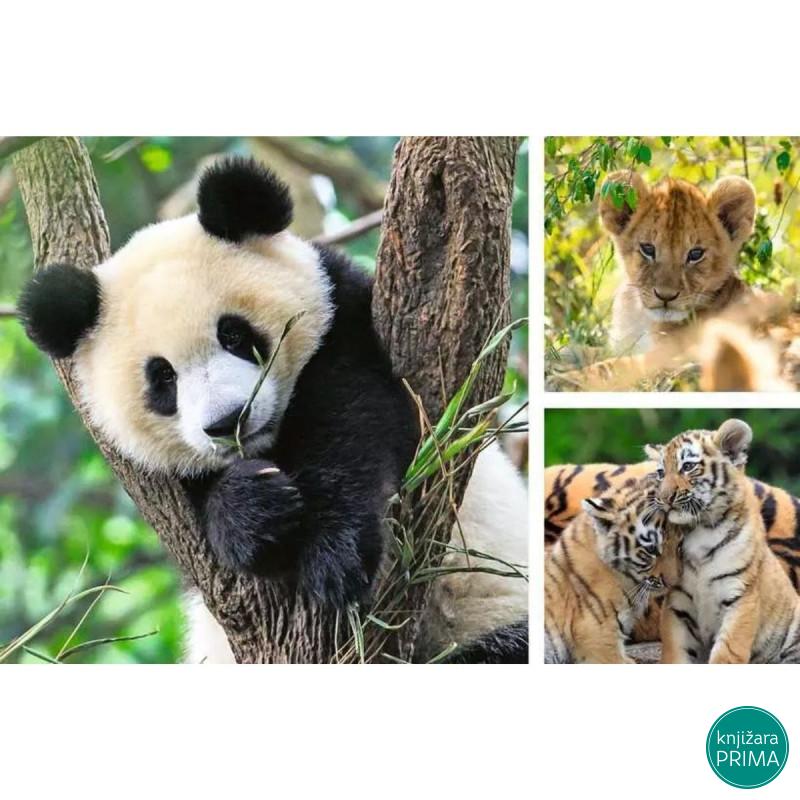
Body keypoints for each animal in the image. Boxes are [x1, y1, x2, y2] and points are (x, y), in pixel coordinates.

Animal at [18, 157, 529, 664]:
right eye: (162, 377)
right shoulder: (163, 487)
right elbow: (204, 518)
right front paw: (253, 509)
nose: (229, 421)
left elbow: (357, 421)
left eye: (234, 334)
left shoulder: (346, 321)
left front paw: (336, 556)